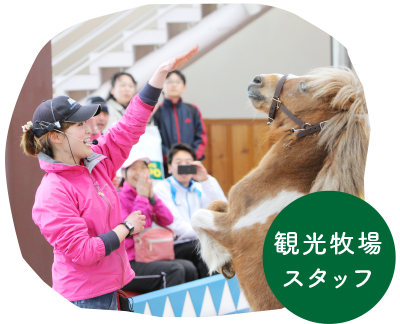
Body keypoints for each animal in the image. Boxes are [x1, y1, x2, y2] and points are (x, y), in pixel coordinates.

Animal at [191, 67, 368, 312]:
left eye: (304, 86)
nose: (258, 80)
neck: (283, 183)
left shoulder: (231, 230)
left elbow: (197, 216)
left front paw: (220, 258)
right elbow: (214, 203)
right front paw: (225, 263)